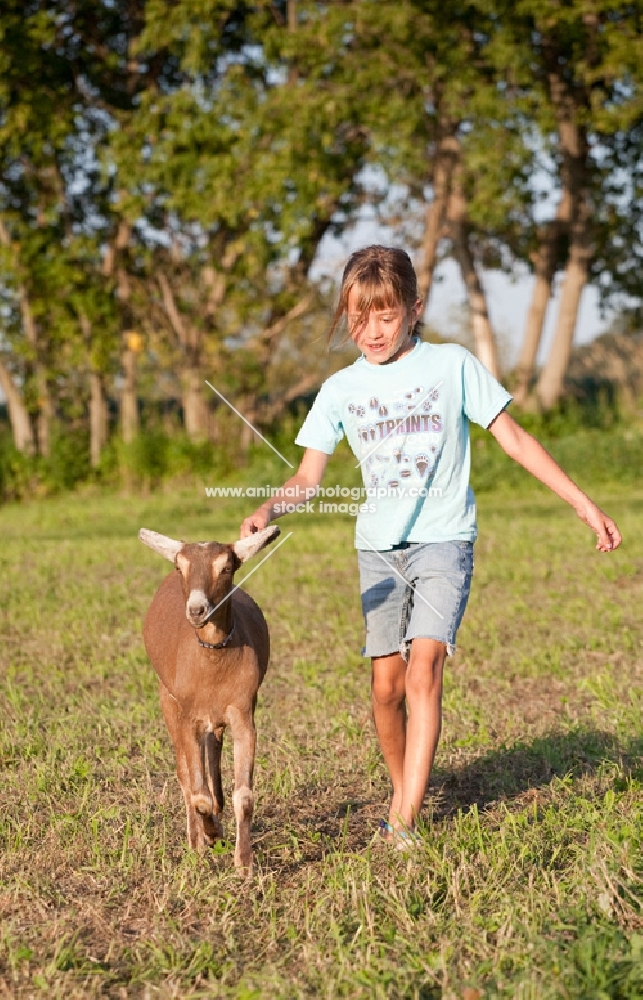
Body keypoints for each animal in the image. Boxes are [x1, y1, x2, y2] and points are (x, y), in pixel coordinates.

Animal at [138, 528, 280, 872]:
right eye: (181, 568)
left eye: (226, 567)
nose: (197, 610)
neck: (212, 659)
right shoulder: (187, 716)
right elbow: (196, 791)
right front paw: (211, 834)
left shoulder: (243, 714)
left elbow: (244, 796)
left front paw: (244, 864)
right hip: (168, 700)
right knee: (185, 774)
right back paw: (196, 841)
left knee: (214, 751)